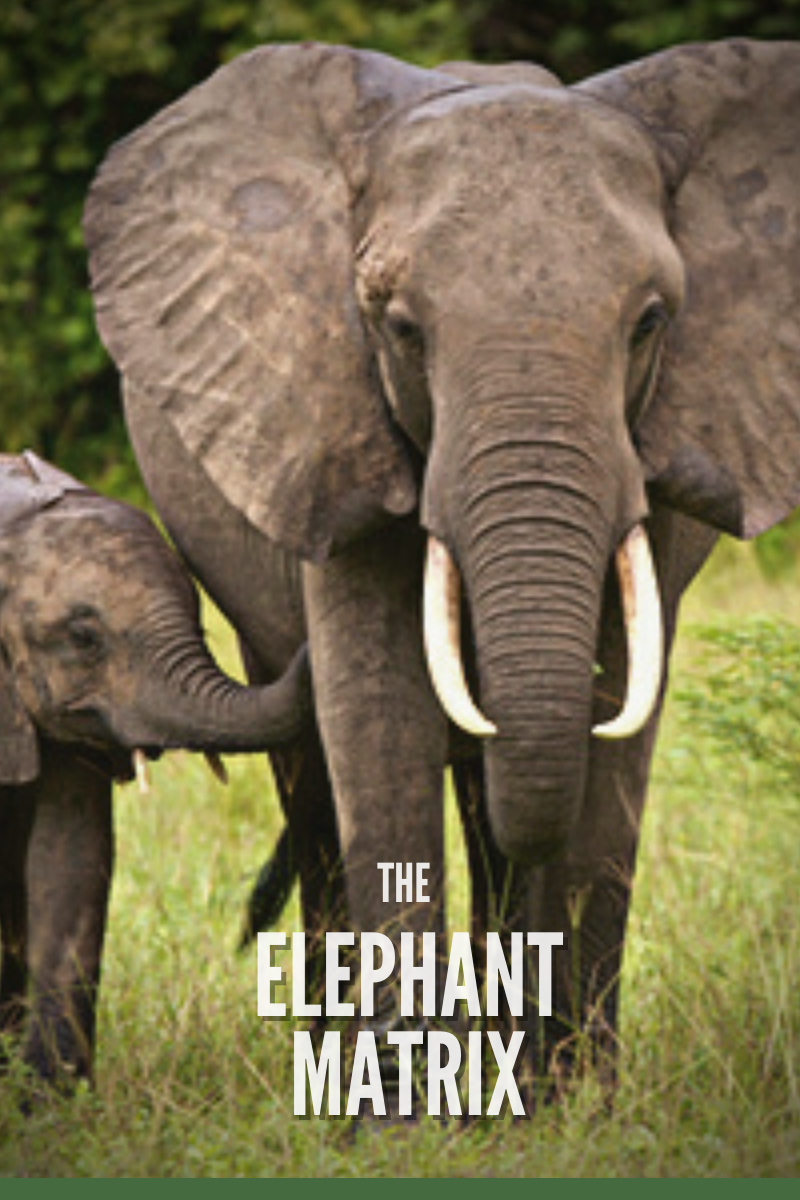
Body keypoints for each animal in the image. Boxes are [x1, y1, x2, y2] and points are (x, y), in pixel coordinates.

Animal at [83, 39, 800, 1110]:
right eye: (401, 329)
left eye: (649, 324)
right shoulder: (328, 419)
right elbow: (379, 720)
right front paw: (396, 1121)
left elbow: (613, 736)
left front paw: (579, 1114)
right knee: (319, 787)